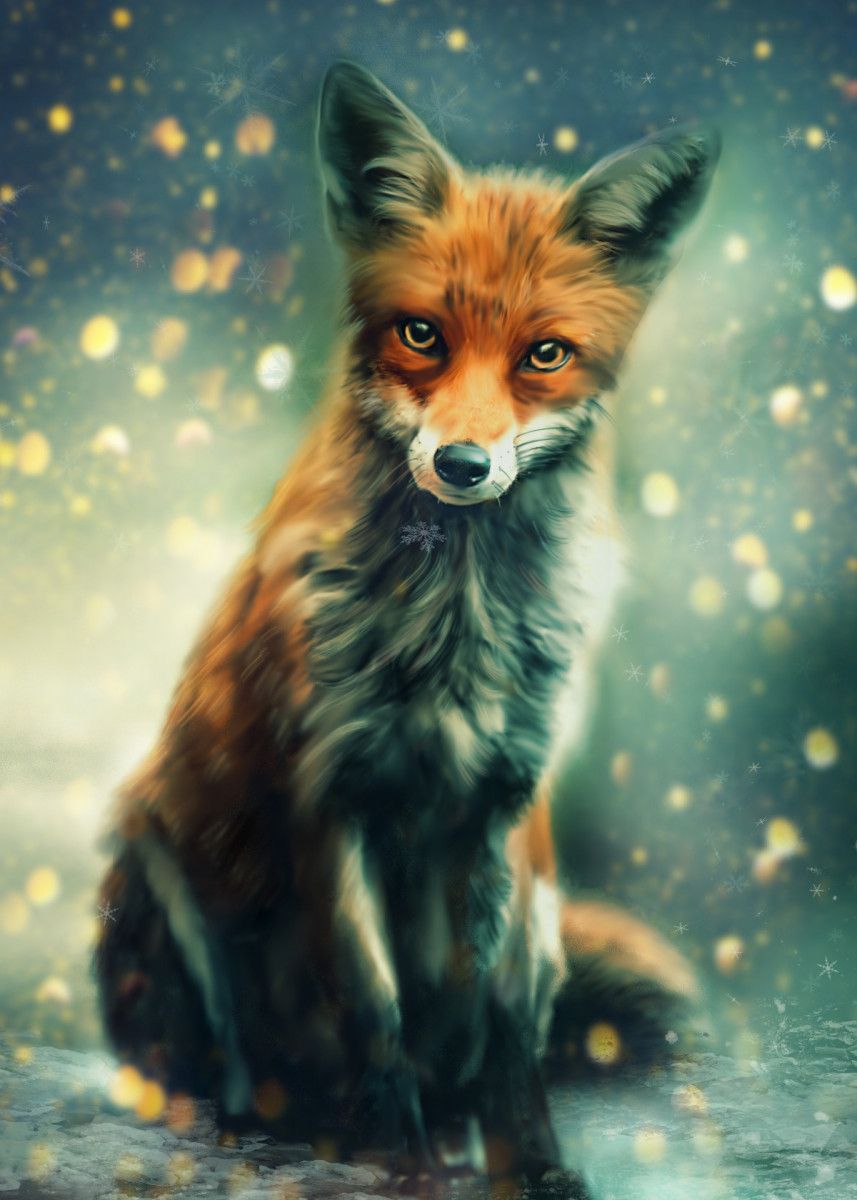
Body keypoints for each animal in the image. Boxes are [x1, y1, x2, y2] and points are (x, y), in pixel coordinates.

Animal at [95, 61, 720, 1197]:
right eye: (420, 334)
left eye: (544, 355)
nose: (463, 466)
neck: (452, 634)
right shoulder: (326, 798)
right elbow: (374, 1005)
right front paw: (400, 1161)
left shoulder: (507, 806)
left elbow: (501, 1018)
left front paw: (525, 1160)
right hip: (152, 856)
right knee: (203, 1065)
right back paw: (261, 1122)